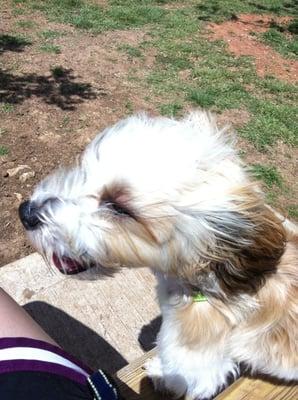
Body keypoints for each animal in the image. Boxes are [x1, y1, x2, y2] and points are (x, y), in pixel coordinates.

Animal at [19, 111, 296, 398]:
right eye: (84, 173)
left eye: (119, 208)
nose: (26, 212)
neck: (202, 279)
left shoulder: (197, 364)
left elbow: (180, 377)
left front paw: (158, 373)